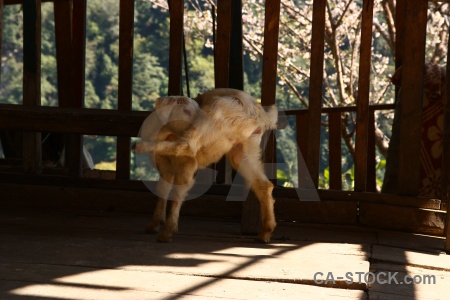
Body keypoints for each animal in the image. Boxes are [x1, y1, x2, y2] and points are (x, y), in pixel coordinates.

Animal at [133, 88, 278, 243]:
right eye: (185, 110)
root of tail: (260, 114)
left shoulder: (187, 164)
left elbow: (179, 190)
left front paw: (168, 231)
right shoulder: (163, 163)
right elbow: (162, 188)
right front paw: (154, 223)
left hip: (216, 112)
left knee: (187, 145)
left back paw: (140, 146)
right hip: (244, 150)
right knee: (263, 184)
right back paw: (266, 232)